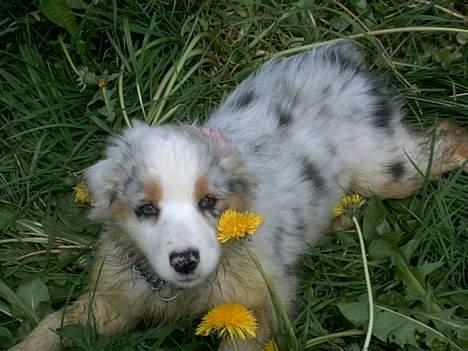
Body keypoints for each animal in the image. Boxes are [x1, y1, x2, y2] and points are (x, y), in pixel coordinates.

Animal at [11, 42, 468, 350]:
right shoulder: (110, 297)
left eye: (209, 203)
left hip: (388, 168)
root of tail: (337, 58)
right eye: (146, 209)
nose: (185, 260)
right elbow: (53, 326)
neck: (181, 291)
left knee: (444, 139)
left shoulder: (259, 300)